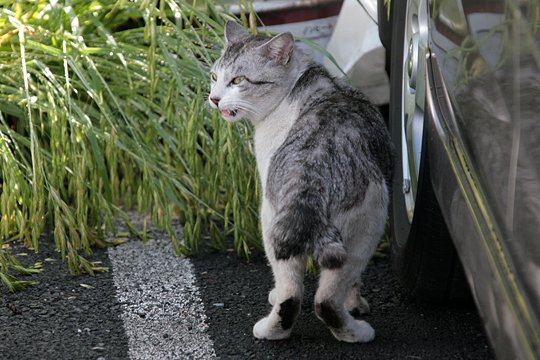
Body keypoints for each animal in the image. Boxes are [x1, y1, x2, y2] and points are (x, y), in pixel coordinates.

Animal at [210, 21, 392, 344]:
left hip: (282, 221)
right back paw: (350, 331)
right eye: (214, 77)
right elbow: (353, 284)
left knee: (300, 293)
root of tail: (310, 177)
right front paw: (356, 303)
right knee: (320, 295)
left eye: (238, 80)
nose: (214, 98)